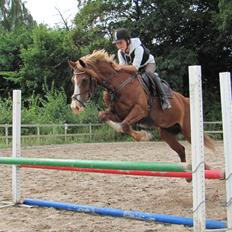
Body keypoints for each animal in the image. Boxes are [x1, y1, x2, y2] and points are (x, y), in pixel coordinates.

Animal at [68, 49, 214, 164]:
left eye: (84, 80)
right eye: (73, 80)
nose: (75, 107)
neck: (117, 85)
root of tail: (186, 100)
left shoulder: (140, 111)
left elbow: (124, 125)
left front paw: (144, 136)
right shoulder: (118, 114)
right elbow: (105, 118)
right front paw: (143, 134)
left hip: (188, 130)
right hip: (166, 132)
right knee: (181, 150)